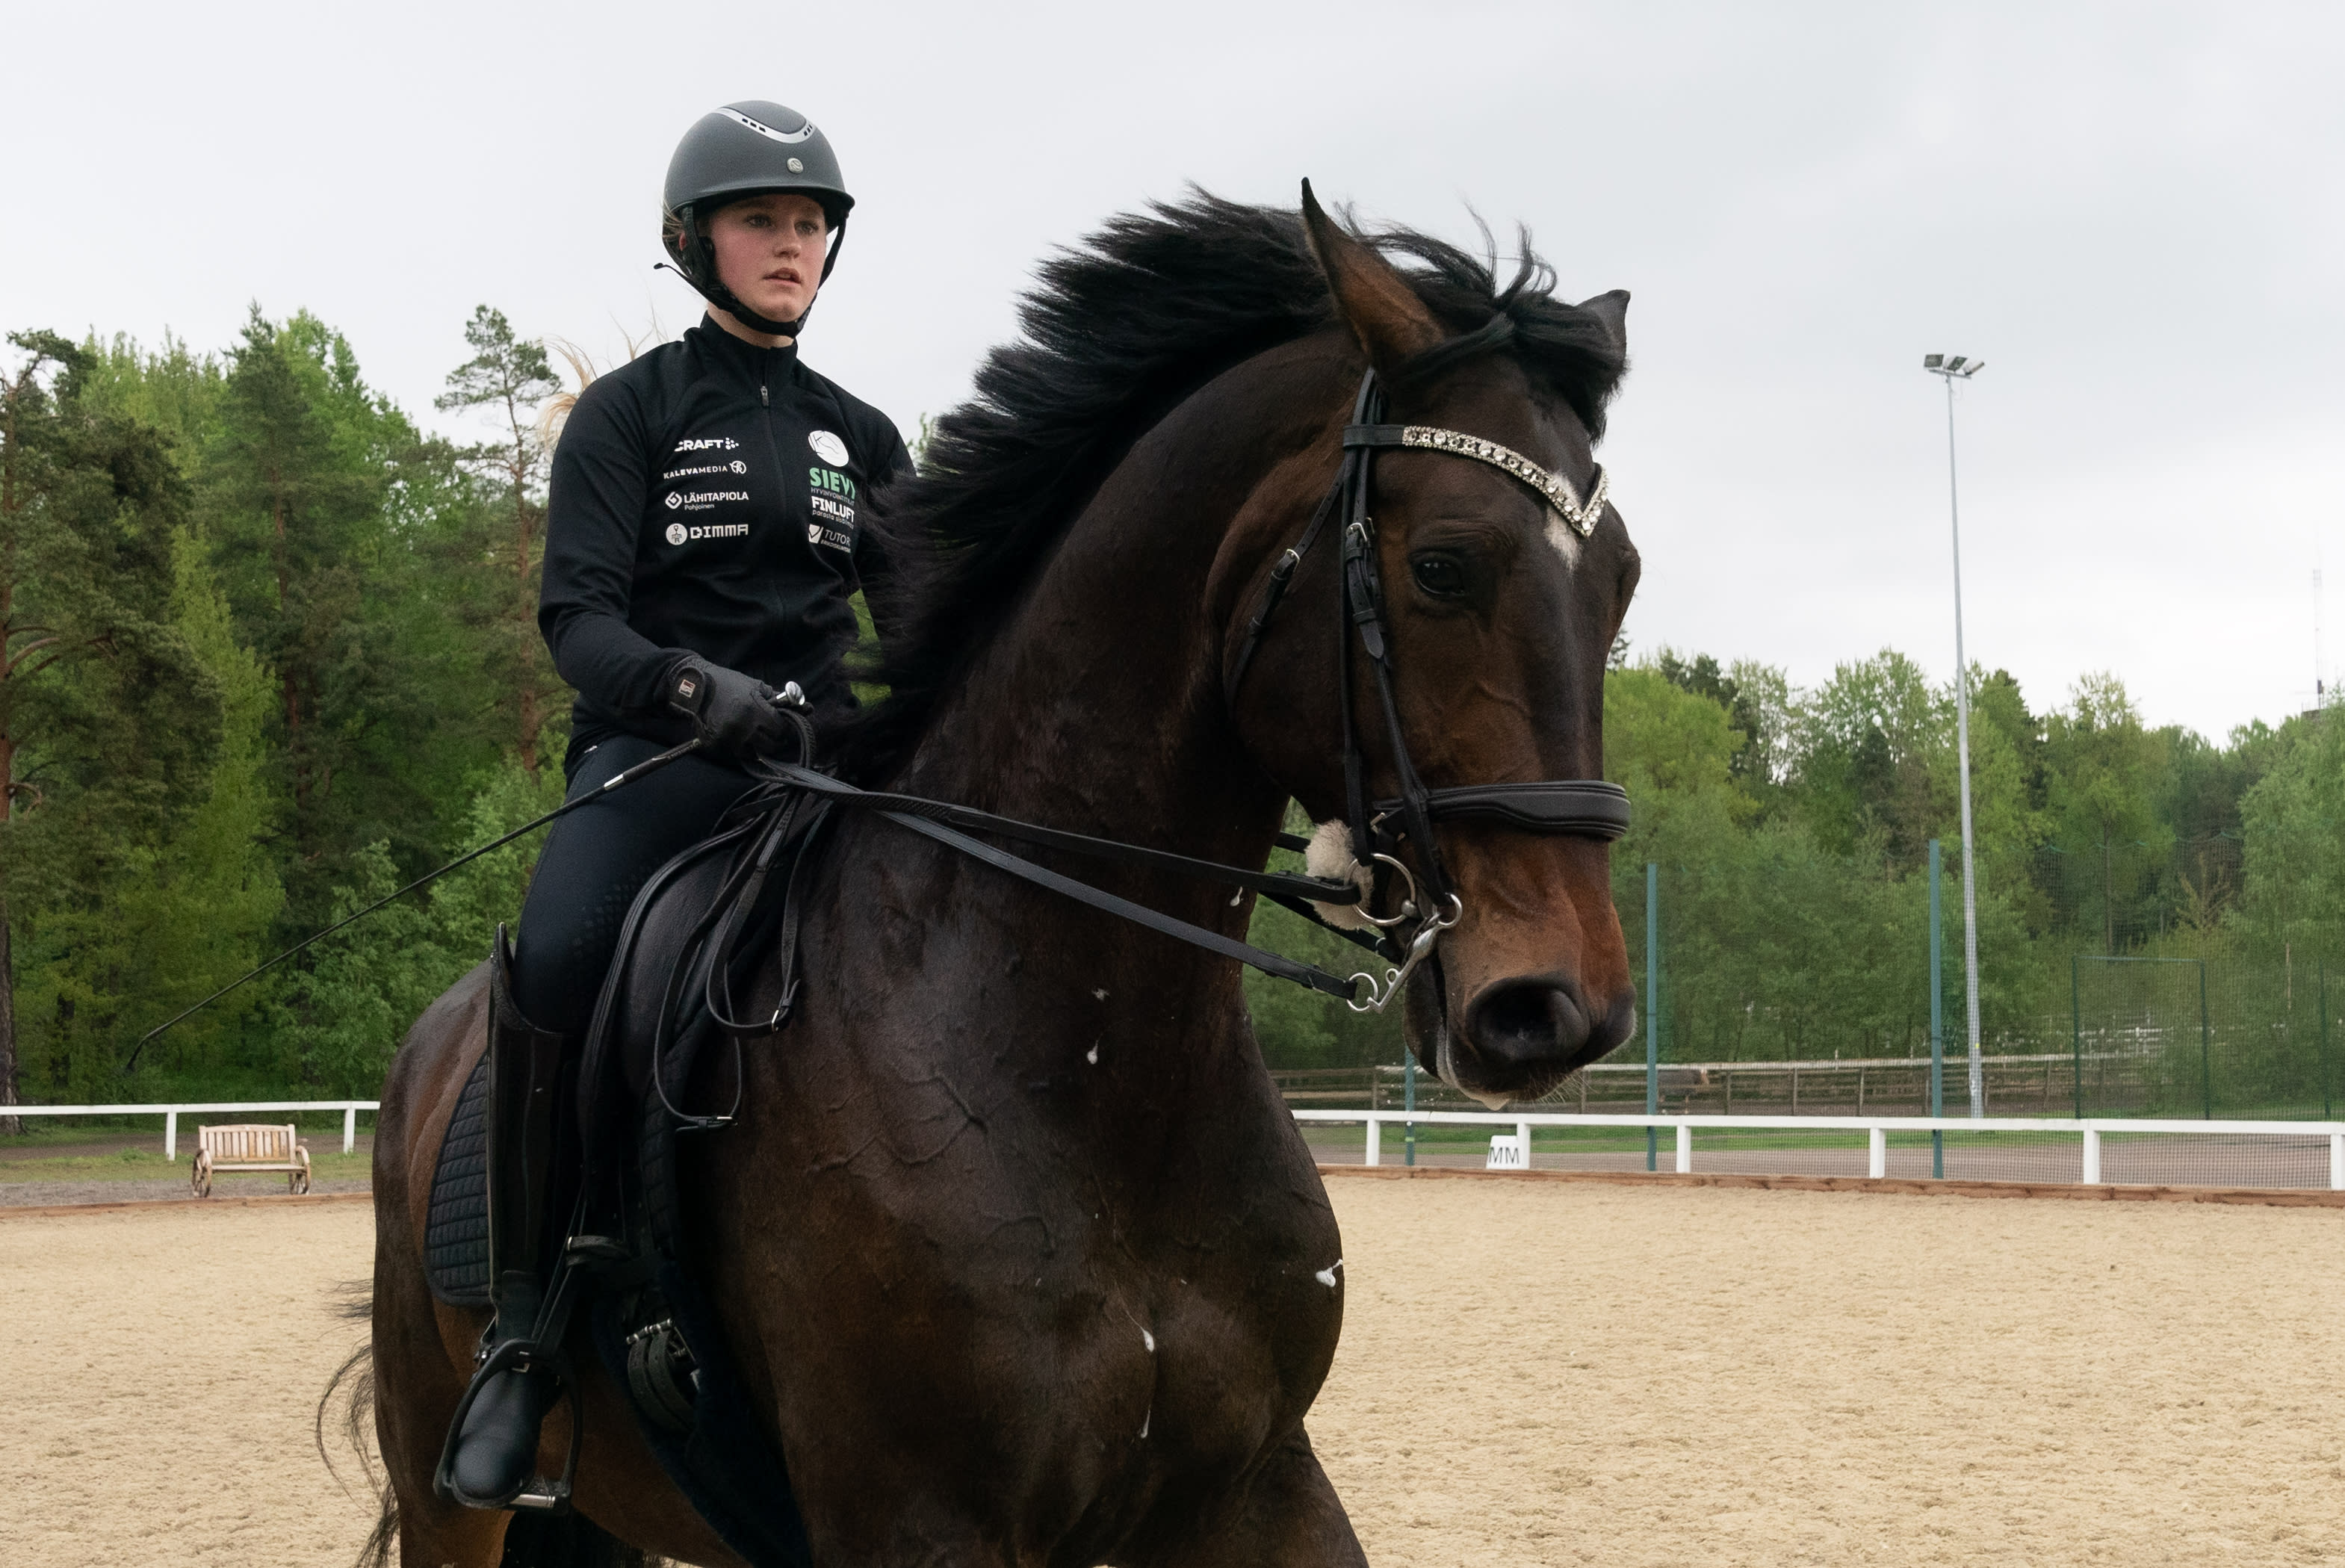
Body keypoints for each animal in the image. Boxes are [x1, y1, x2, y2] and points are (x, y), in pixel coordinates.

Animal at [370, 190, 1650, 1556]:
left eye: (1620, 577)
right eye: (1443, 564)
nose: (1555, 1008)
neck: (1081, 1060)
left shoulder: (1260, 1481)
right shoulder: (915, 1516)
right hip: (448, 1487)